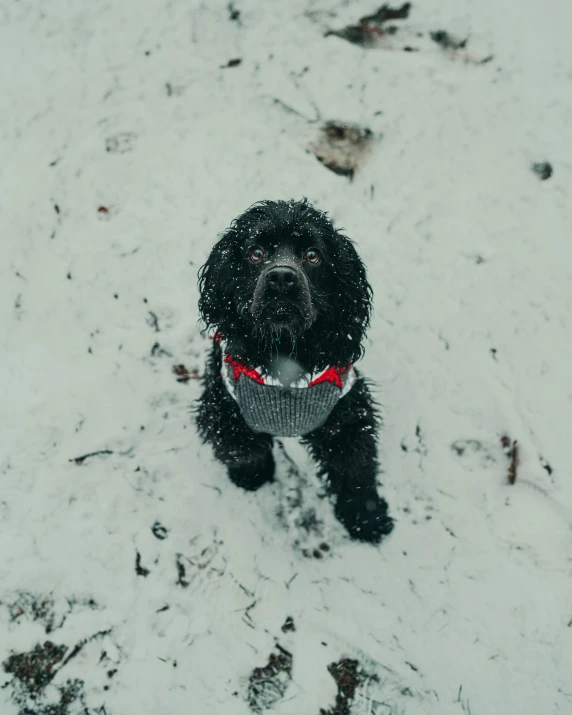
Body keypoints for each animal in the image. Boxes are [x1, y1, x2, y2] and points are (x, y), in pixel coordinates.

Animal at [197, 197, 394, 544]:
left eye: (312, 255)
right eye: (256, 252)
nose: (281, 278)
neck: (284, 353)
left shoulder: (347, 411)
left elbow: (355, 468)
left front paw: (367, 518)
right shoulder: (224, 401)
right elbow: (243, 447)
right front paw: (251, 475)